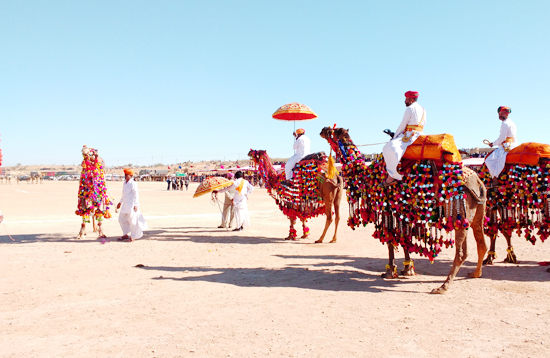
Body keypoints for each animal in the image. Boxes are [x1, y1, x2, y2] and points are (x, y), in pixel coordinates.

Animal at [322, 127, 490, 296]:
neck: (371, 175)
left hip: (458, 210)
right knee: (480, 243)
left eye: (334, 130)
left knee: (462, 252)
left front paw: (390, 271)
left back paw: (442, 287)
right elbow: (404, 239)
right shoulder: (401, 210)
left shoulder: (388, 207)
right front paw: (407, 268)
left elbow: (390, 239)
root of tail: (478, 182)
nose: (322, 130)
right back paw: (475, 273)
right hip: (476, 213)